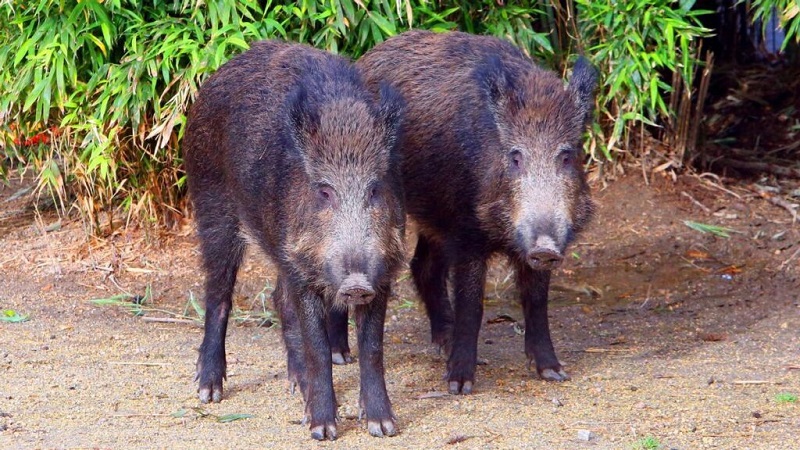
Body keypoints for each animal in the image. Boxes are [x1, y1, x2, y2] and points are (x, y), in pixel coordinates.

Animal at [183, 40, 406, 440]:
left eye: (375, 188)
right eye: (324, 191)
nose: (355, 283)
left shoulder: (383, 271)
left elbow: (372, 348)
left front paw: (383, 427)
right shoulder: (304, 273)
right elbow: (318, 348)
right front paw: (322, 431)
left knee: (277, 298)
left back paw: (295, 386)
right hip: (212, 206)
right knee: (217, 293)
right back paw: (209, 392)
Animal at [346, 30, 597, 394]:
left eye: (566, 155)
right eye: (515, 156)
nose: (545, 248)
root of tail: (366, 57)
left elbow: (536, 300)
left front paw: (553, 372)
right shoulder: (466, 233)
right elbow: (472, 304)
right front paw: (459, 384)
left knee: (424, 266)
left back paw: (443, 342)